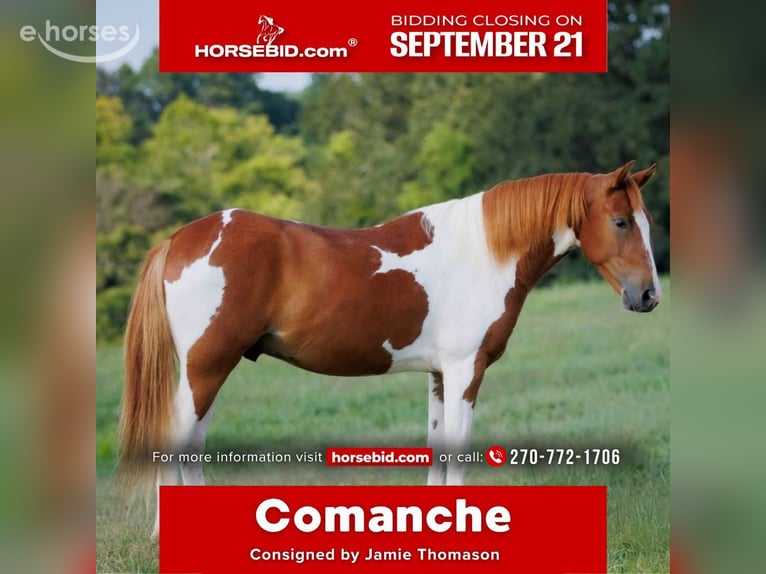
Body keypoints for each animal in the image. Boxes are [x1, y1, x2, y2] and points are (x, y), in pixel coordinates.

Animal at [116, 161, 662, 540]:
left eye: (647, 222)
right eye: (620, 222)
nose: (649, 296)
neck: (484, 252)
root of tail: (179, 239)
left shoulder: (440, 375)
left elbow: (438, 446)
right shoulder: (466, 371)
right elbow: (458, 447)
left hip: (209, 372)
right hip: (206, 368)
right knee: (177, 442)